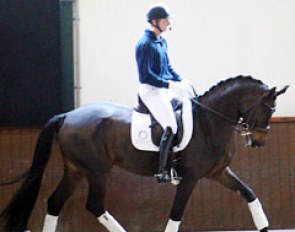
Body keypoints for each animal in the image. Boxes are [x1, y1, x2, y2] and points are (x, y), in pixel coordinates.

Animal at [0, 75, 290, 231]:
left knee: (54, 203)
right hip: (97, 170)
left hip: (76, 170)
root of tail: (67, 115)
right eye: (268, 110)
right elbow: (176, 213)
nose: (258, 142)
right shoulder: (190, 178)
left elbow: (250, 194)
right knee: (94, 205)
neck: (210, 121)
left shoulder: (219, 172)